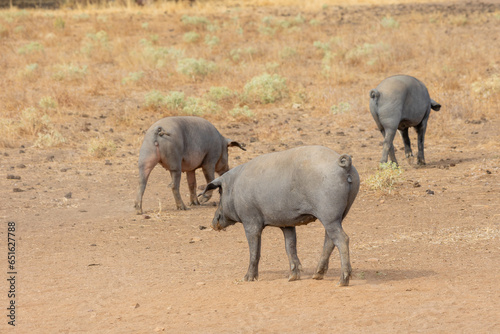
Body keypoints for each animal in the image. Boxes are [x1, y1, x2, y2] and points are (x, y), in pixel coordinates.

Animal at [200, 146, 360, 288]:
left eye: (220, 192)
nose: (212, 223)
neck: (234, 186)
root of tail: (341, 163)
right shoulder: (287, 224)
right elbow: (290, 246)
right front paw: (293, 277)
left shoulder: (251, 221)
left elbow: (255, 251)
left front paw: (247, 278)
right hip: (340, 214)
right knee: (329, 240)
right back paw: (317, 275)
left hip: (328, 214)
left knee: (342, 239)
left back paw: (342, 282)